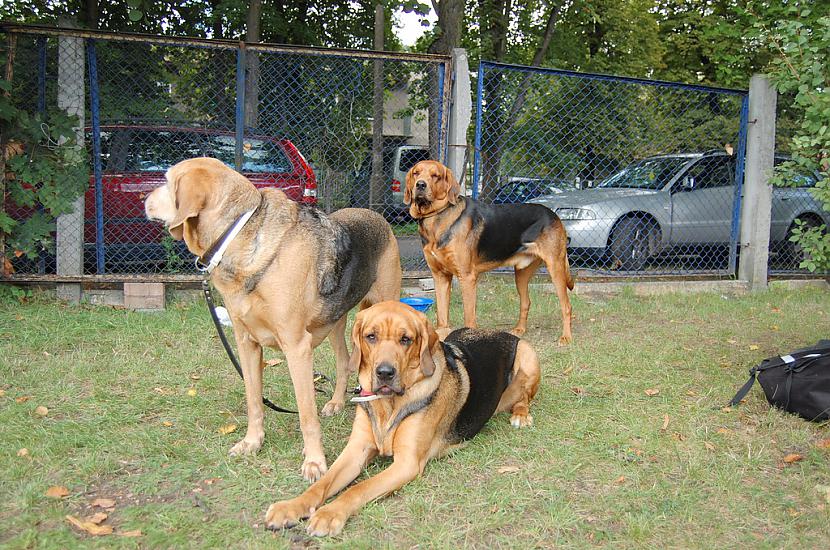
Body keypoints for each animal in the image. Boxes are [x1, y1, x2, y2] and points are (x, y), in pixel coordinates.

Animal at [145, 157, 404, 480]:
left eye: (168, 182)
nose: (144, 199)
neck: (239, 233)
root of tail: (375, 214)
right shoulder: (246, 344)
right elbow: (254, 400)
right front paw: (252, 442)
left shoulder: (297, 348)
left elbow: (306, 414)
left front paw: (315, 461)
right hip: (335, 321)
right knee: (345, 362)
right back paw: (335, 402)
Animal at [264, 302, 544, 540]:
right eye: (371, 336)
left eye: (405, 339)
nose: (385, 373)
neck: (389, 403)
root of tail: (501, 332)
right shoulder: (356, 449)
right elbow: (322, 484)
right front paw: (291, 507)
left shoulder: (406, 463)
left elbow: (358, 488)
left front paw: (329, 514)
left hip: (528, 358)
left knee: (524, 397)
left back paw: (520, 415)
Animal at [406, 160, 576, 344]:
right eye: (416, 173)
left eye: (435, 175)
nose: (420, 185)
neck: (437, 216)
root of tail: (554, 215)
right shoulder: (440, 277)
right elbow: (442, 317)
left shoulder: (467, 278)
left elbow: (469, 318)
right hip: (522, 273)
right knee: (526, 302)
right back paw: (519, 330)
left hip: (555, 268)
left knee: (566, 306)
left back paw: (566, 337)